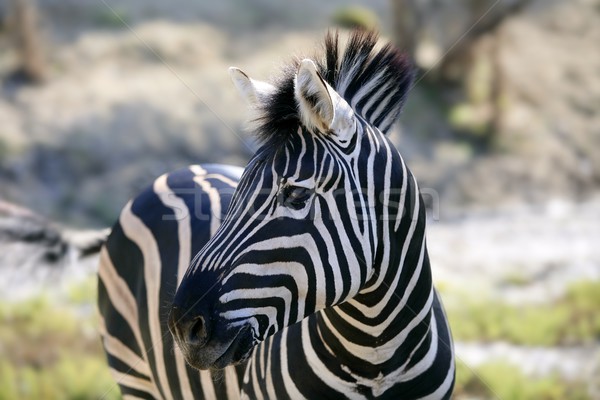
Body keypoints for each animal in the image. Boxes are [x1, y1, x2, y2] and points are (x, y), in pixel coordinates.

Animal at [98, 32, 454, 400]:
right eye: (239, 190)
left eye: (296, 195)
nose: (183, 328)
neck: (375, 353)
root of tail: (176, 172)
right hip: (134, 377)